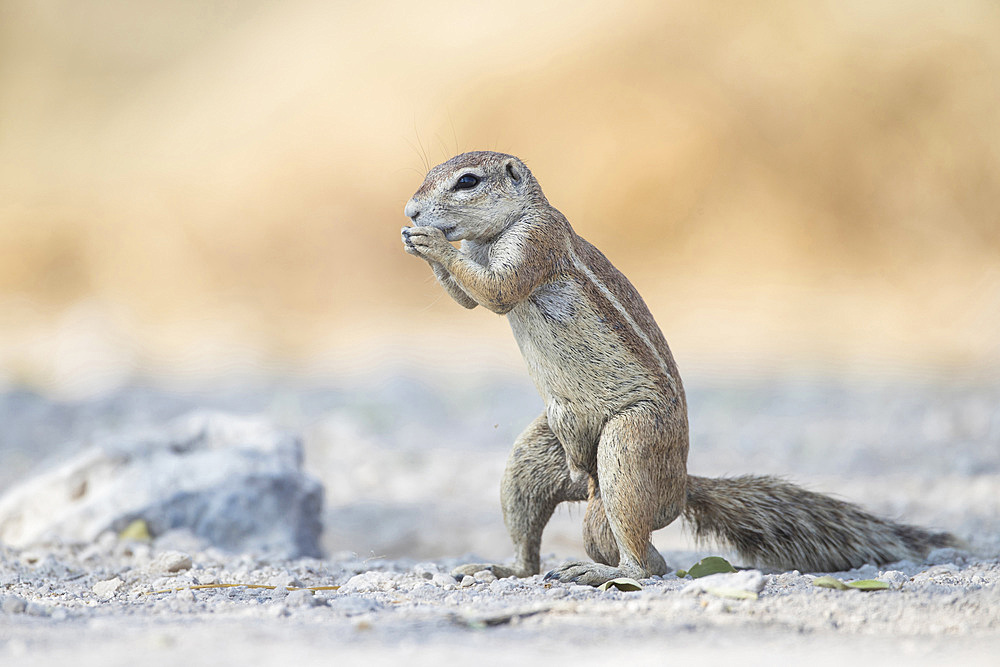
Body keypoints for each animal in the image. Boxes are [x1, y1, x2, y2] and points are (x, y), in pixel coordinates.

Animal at [398, 150, 952, 584]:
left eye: (467, 181)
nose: (410, 210)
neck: (499, 230)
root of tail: (679, 485)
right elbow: (470, 300)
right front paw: (416, 240)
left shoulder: (536, 240)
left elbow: (497, 290)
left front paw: (431, 242)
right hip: (540, 454)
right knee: (537, 531)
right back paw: (504, 568)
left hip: (630, 444)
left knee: (649, 561)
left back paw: (598, 572)